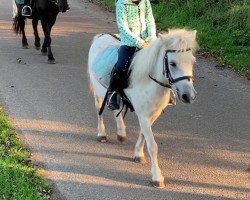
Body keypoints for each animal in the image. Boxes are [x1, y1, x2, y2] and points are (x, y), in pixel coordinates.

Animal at [87, 28, 197, 188]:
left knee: (115, 107)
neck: (150, 80)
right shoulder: (143, 116)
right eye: (173, 63)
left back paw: (121, 133)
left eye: (192, 61)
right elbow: (152, 145)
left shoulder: (152, 115)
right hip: (98, 93)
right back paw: (101, 134)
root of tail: (101, 36)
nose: (188, 96)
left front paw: (138, 154)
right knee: (99, 111)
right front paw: (157, 177)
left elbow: (143, 135)